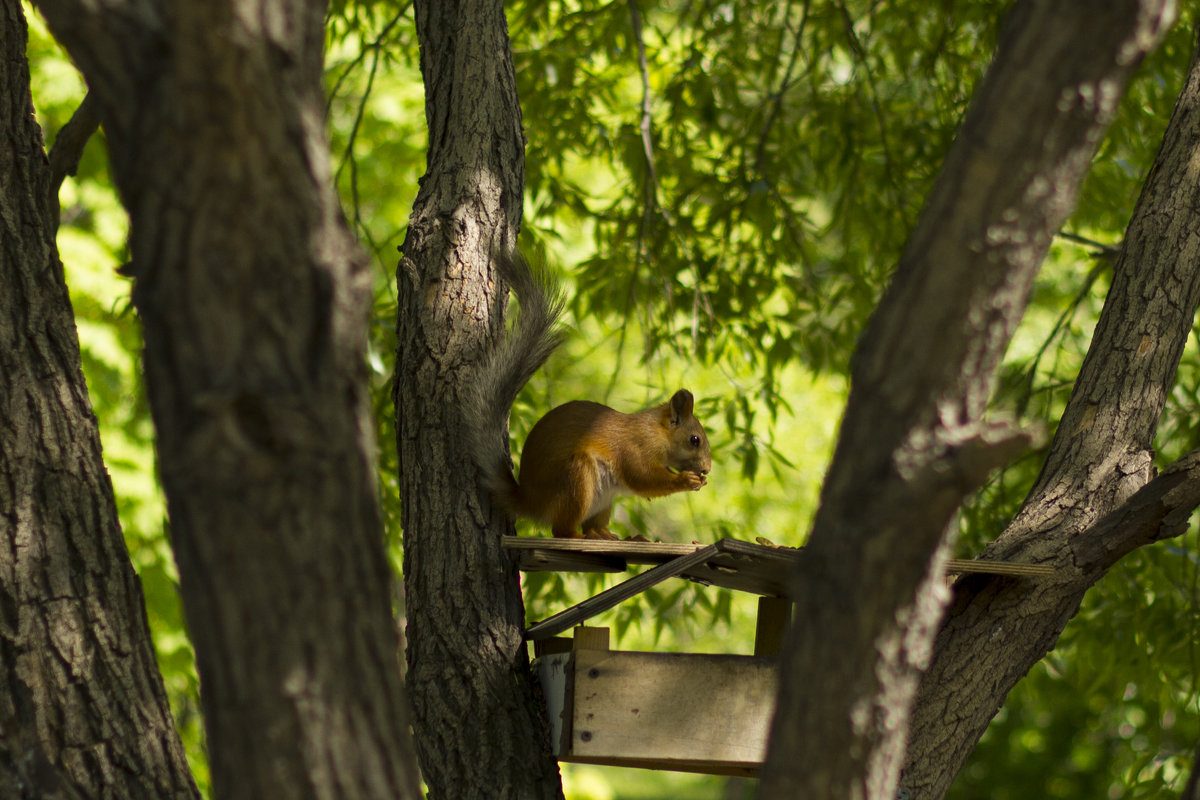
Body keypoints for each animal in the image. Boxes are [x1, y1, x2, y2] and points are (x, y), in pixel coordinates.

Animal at [465, 247, 710, 542]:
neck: (657, 432)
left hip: (604, 501)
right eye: (694, 439)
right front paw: (686, 480)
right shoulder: (635, 447)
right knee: (561, 531)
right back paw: (582, 537)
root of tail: (530, 501)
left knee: (593, 524)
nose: (707, 469)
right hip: (577, 477)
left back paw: (616, 536)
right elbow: (643, 478)